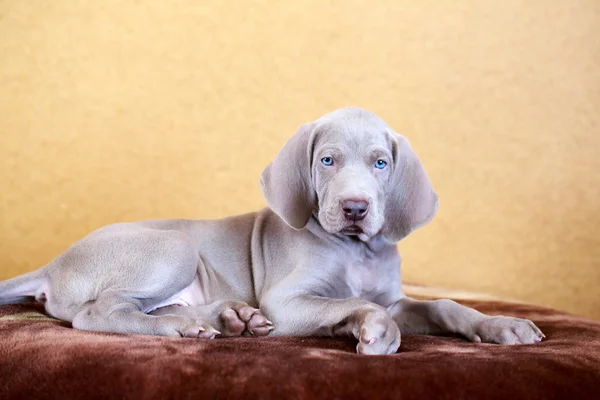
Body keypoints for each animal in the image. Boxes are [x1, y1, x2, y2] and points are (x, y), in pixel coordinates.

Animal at [0, 106, 544, 354]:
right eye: (327, 161)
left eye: (381, 163)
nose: (355, 207)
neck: (357, 251)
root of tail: (54, 263)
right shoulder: (288, 301)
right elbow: (353, 305)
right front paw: (374, 333)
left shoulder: (397, 298)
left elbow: (442, 304)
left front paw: (502, 325)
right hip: (173, 247)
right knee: (97, 313)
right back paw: (182, 327)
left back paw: (229, 318)